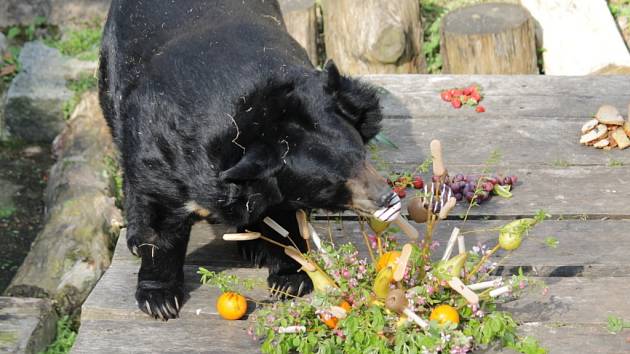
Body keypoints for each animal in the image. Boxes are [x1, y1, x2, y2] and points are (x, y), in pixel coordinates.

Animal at [99, 0, 400, 320]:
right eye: (333, 183)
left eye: (362, 156)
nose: (387, 198)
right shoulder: (162, 150)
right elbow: (160, 221)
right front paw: (160, 301)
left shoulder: (279, 182)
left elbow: (285, 221)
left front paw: (289, 279)